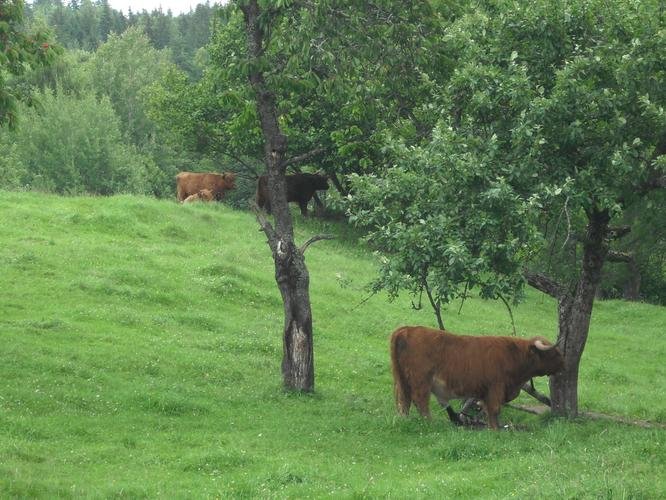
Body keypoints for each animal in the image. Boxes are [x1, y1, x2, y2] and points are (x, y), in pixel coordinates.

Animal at [390, 324, 560, 430]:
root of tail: (407, 329)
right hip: (421, 382)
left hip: (402, 381)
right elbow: (494, 409)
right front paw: (495, 429)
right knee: (420, 401)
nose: (563, 365)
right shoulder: (496, 388)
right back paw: (429, 423)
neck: (514, 354)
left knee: (404, 401)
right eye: (553, 353)